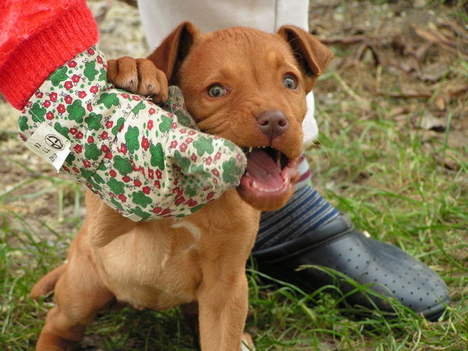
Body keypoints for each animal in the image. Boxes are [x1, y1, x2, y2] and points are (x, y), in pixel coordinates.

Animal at [32, 22, 332, 351]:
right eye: (216, 91)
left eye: (290, 82)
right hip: (83, 288)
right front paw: (136, 68)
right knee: (59, 323)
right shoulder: (104, 224)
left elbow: (222, 341)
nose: (276, 121)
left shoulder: (226, 288)